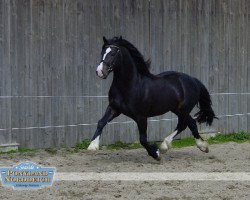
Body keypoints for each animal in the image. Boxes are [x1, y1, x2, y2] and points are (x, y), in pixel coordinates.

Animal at [88, 36, 217, 161]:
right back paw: (203, 146)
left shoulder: (141, 116)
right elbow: (101, 122)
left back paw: (164, 146)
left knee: (183, 125)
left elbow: (143, 139)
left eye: (113, 53)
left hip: (184, 109)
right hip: (177, 109)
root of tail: (194, 80)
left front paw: (156, 154)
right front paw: (92, 146)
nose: (100, 72)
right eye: (102, 52)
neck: (130, 85)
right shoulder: (114, 108)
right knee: (191, 123)